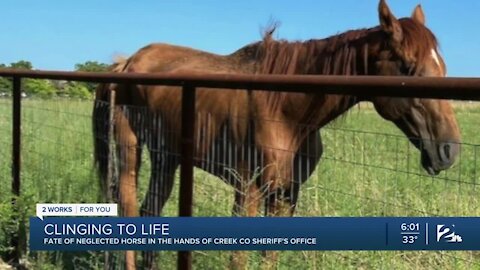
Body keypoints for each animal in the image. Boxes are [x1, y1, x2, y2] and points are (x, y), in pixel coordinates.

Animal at [93, 1, 458, 268]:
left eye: (443, 67)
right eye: (408, 66)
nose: (448, 150)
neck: (285, 108)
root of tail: (127, 62)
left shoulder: (285, 193)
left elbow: (269, 257)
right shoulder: (248, 190)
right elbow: (239, 259)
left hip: (166, 157)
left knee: (150, 210)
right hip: (129, 150)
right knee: (129, 209)